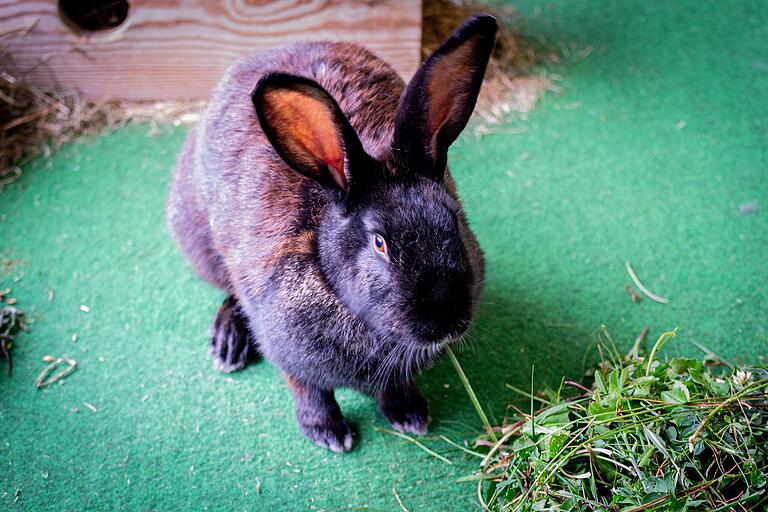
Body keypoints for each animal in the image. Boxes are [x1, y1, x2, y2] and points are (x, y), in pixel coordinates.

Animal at [165, 14, 496, 450]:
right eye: (379, 243)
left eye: (453, 221)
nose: (445, 320)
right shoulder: (291, 356)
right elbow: (311, 391)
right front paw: (328, 433)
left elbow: (394, 386)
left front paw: (410, 415)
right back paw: (228, 344)